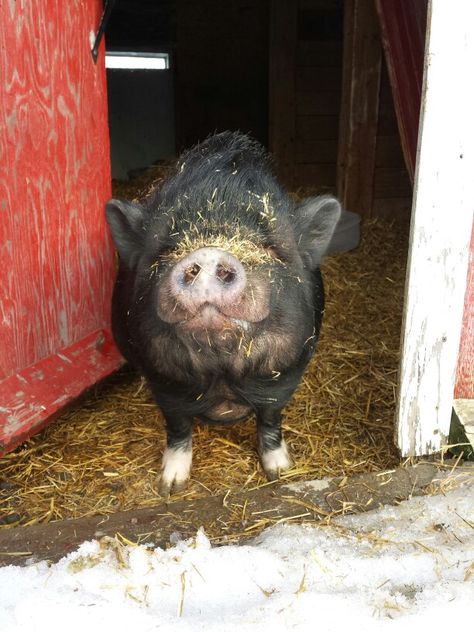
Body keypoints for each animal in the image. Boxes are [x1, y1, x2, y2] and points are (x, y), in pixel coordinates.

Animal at [105, 131, 340, 496]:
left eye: (269, 246)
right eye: (167, 248)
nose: (209, 252)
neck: (222, 377)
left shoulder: (286, 376)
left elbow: (271, 419)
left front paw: (280, 473)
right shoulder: (164, 383)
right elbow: (178, 428)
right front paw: (170, 486)